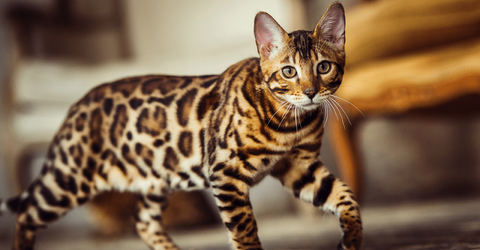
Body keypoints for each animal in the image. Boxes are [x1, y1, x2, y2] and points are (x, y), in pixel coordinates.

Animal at [0, 2, 360, 250]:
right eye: (288, 72)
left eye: (323, 67)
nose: (311, 92)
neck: (290, 121)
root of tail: (76, 106)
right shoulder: (225, 173)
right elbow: (245, 231)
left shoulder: (299, 166)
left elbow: (348, 199)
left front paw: (351, 240)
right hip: (68, 179)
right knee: (27, 212)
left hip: (154, 178)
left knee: (142, 222)